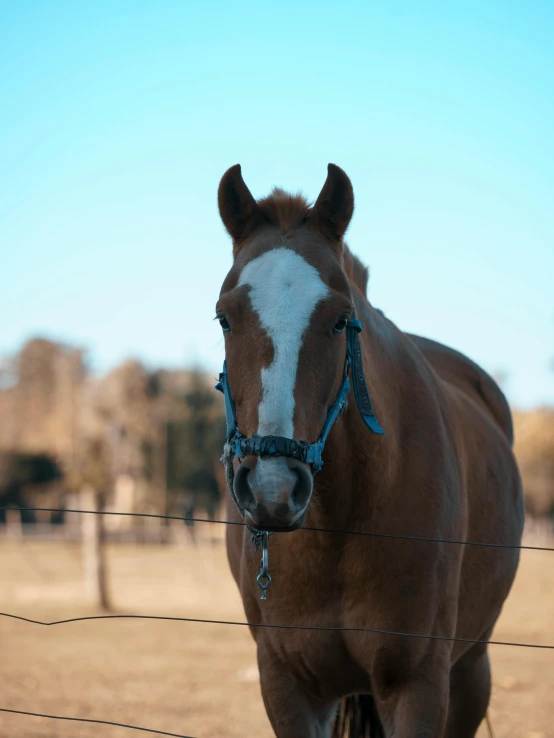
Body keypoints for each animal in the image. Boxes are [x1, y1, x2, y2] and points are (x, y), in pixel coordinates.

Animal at [215, 164, 520, 732]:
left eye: (340, 319)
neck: (338, 526)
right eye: (225, 317)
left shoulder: (418, 684)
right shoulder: (288, 687)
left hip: (472, 673)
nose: (272, 489)